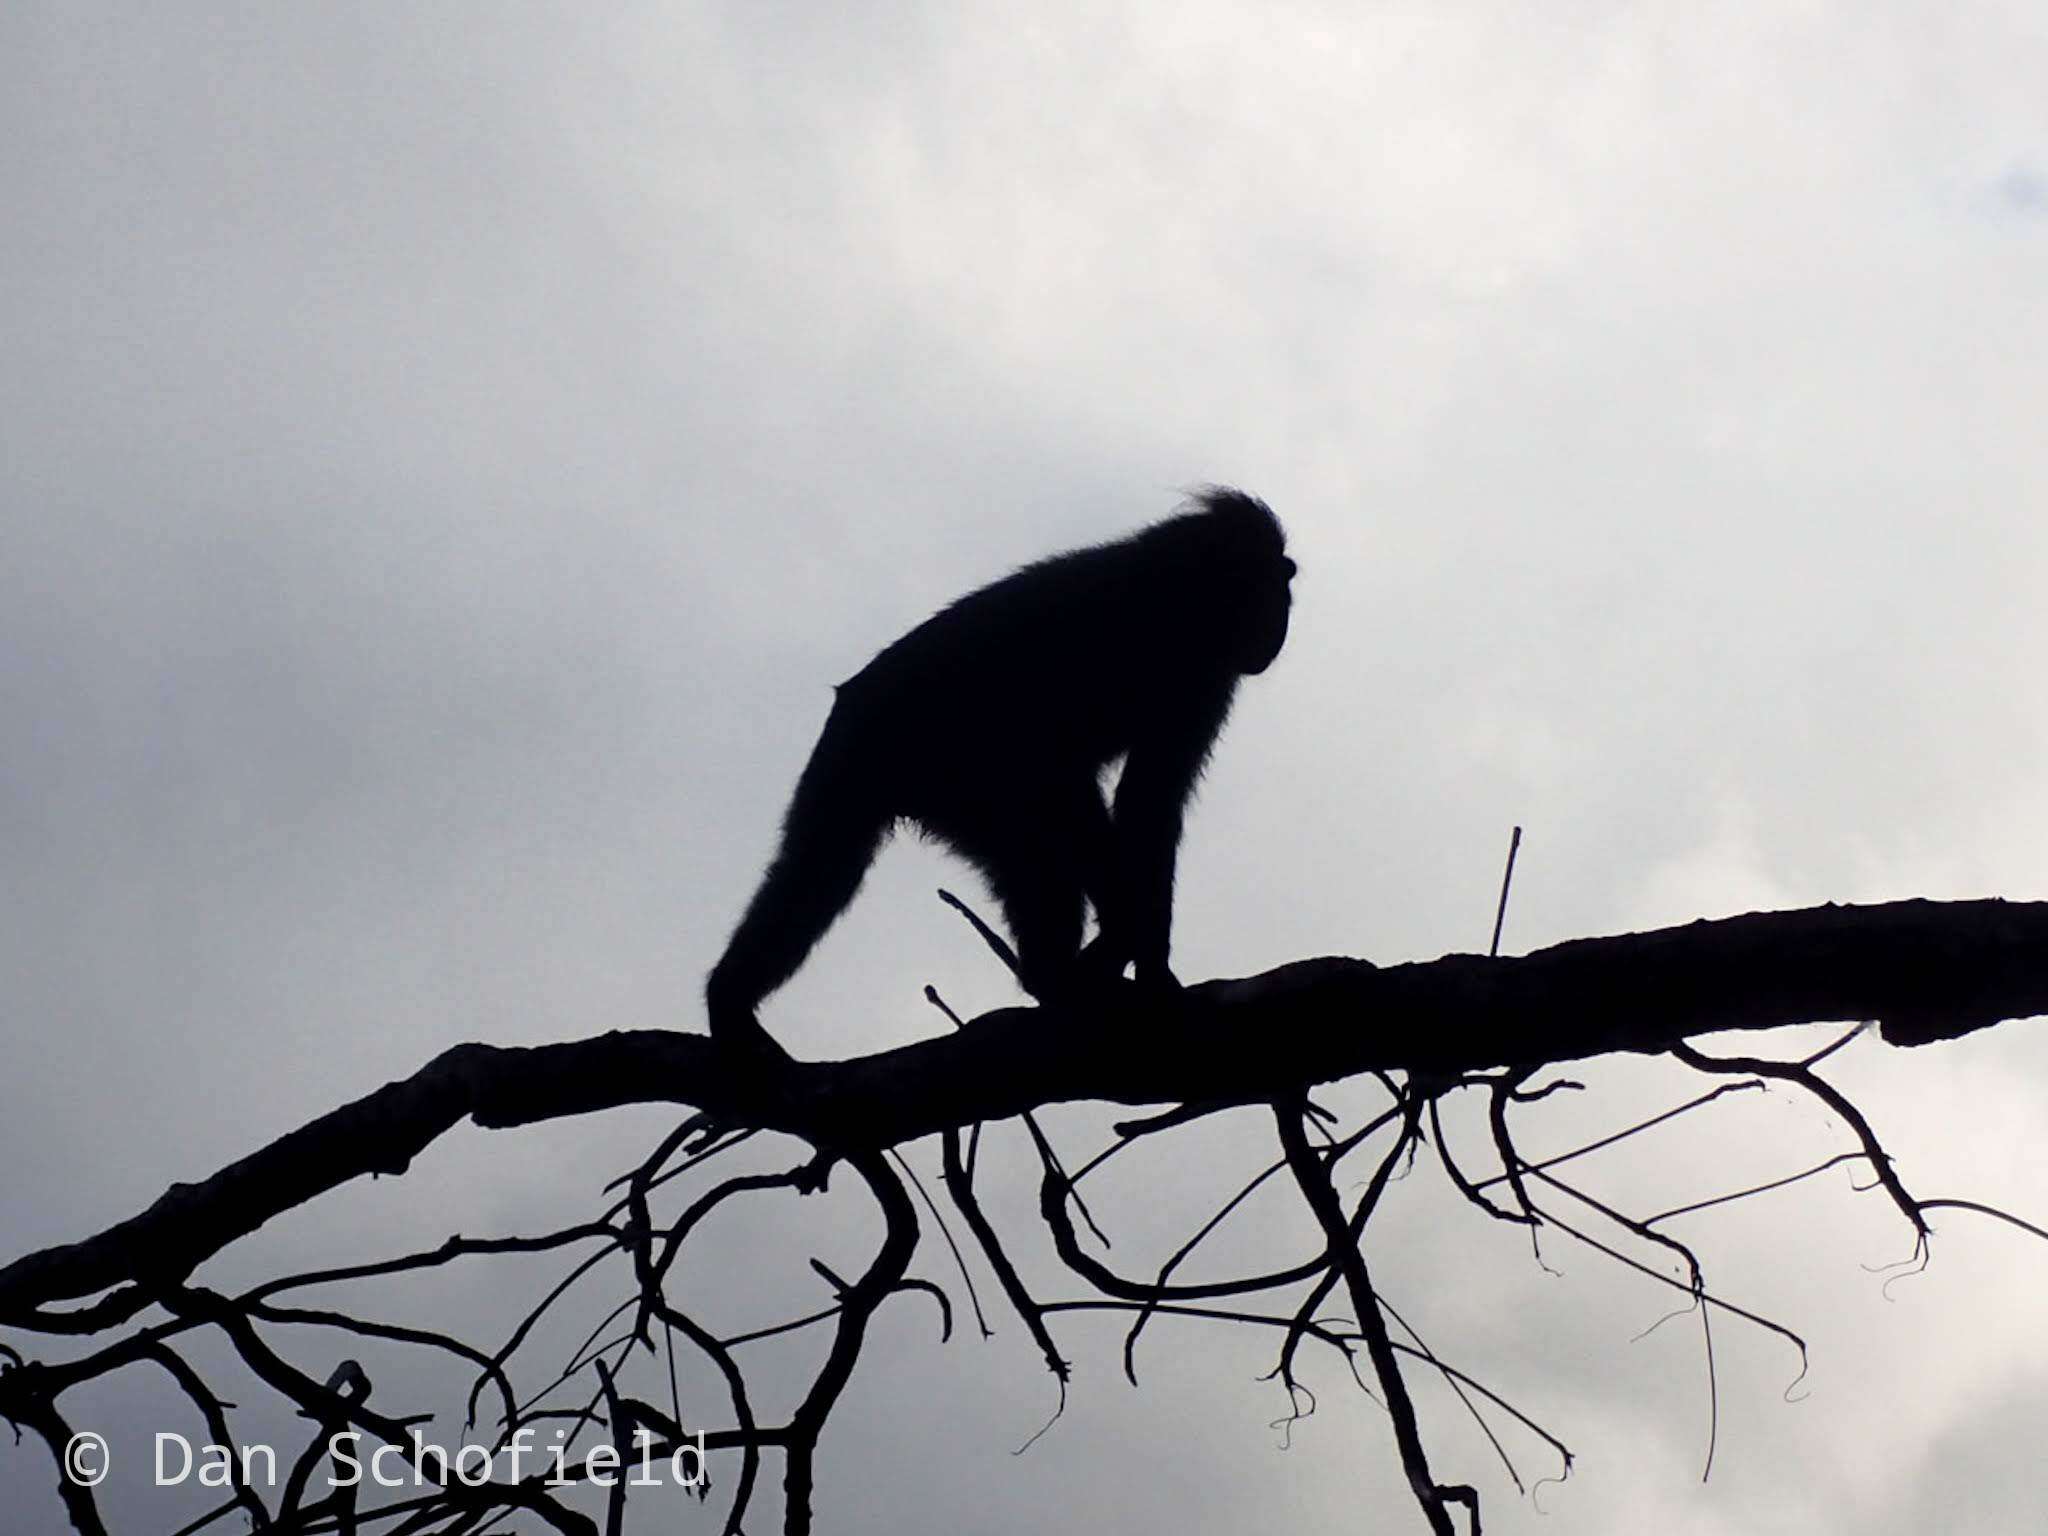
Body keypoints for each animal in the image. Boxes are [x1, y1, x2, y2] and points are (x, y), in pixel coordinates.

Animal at [712, 493, 1294, 1056]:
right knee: (834, 866)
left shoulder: (1205, 676)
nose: (1280, 626)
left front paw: (1148, 963)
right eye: (1273, 588)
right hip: (880, 749)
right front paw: (1127, 935)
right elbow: (1073, 774)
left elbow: (1150, 800)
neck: (1183, 595)